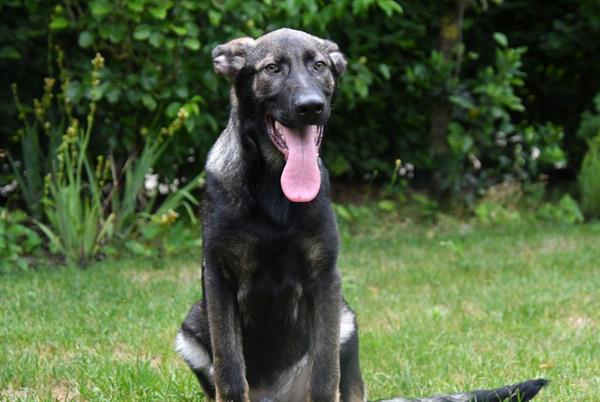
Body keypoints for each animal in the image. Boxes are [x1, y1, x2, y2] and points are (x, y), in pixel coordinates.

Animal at [175, 29, 548, 402]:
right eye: (272, 68)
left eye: (319, 65)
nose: (311, 107)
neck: (273, 187)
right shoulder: (219, 278)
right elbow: (230, 373)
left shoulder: (325, 279)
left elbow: (325, 376)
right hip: (192, 323)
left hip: (345, 318)